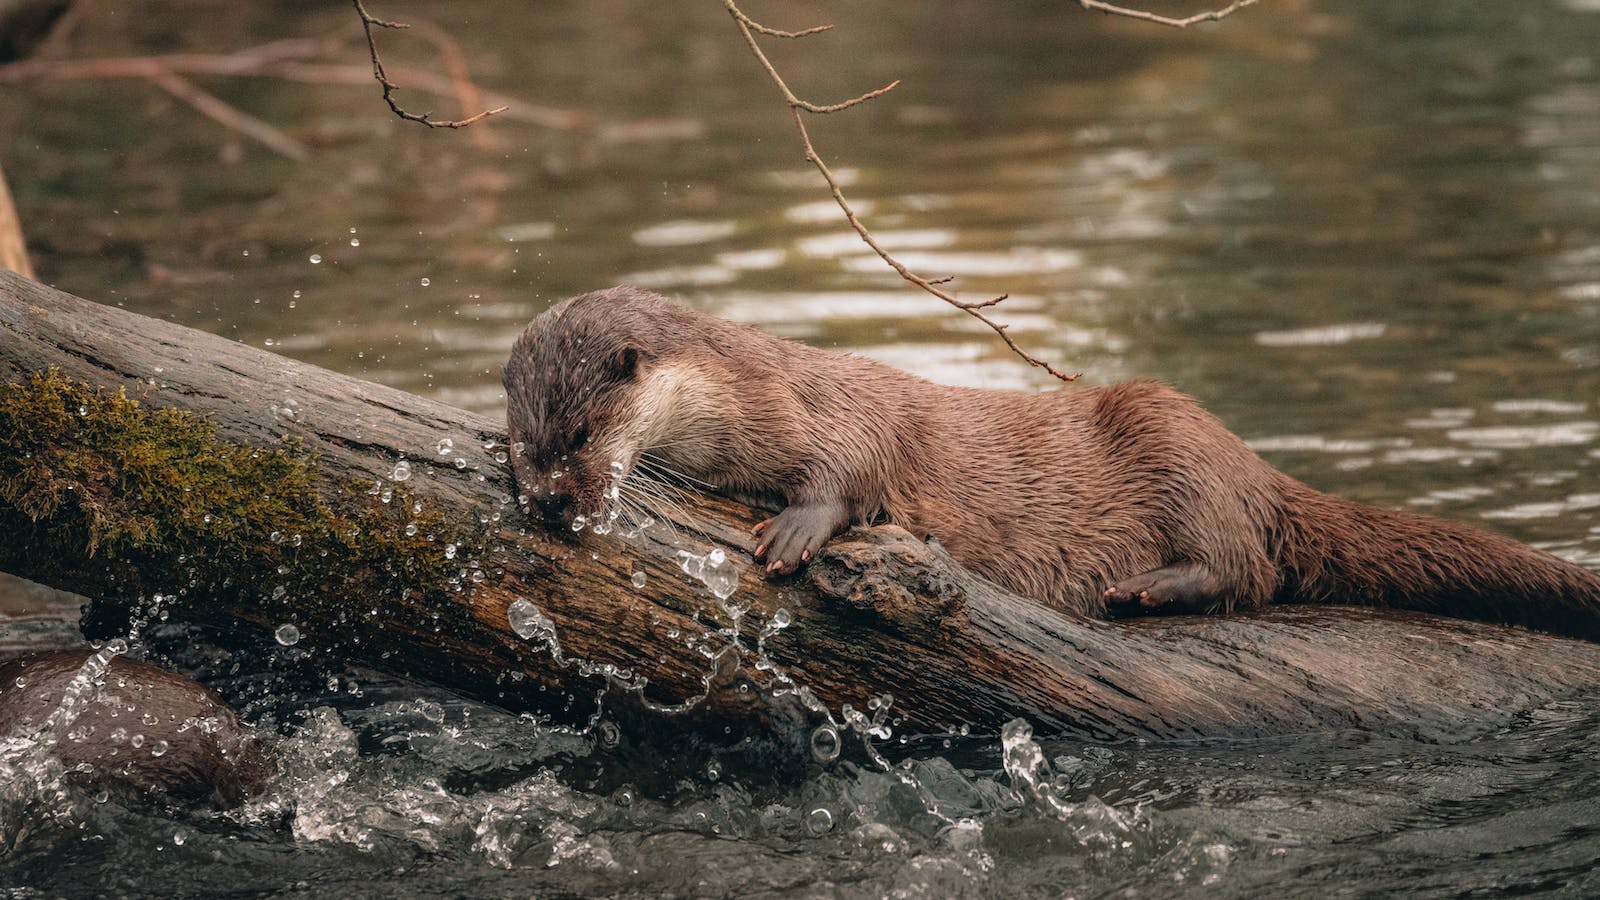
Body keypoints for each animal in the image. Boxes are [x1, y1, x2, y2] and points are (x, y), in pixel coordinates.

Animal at [503, 286, 1600, 641]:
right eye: (524, 444)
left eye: (581, 439)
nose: (550, 502)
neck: (750, 398)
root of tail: (1254, 467)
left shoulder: (831, 412)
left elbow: (852, 470)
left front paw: (797, 530)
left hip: (1172, 439)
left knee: (1245, 566)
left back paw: (1145, 590)